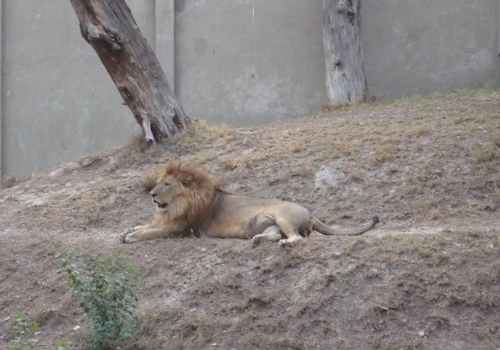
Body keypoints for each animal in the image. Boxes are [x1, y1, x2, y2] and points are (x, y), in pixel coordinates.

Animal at [121, 160, 378, 247]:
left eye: (166, 185)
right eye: (158, 183)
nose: (151, 194)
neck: (177, 206)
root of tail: (312, 214)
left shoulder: (180, 230)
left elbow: (152, 232)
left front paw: (132, 236)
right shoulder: (167, 220)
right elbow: (147, 225)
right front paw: (128, 229)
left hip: (282, 215)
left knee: (295, 238)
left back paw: (284, 244)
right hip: (268, 223)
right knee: (275, 234)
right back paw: (258, 240)